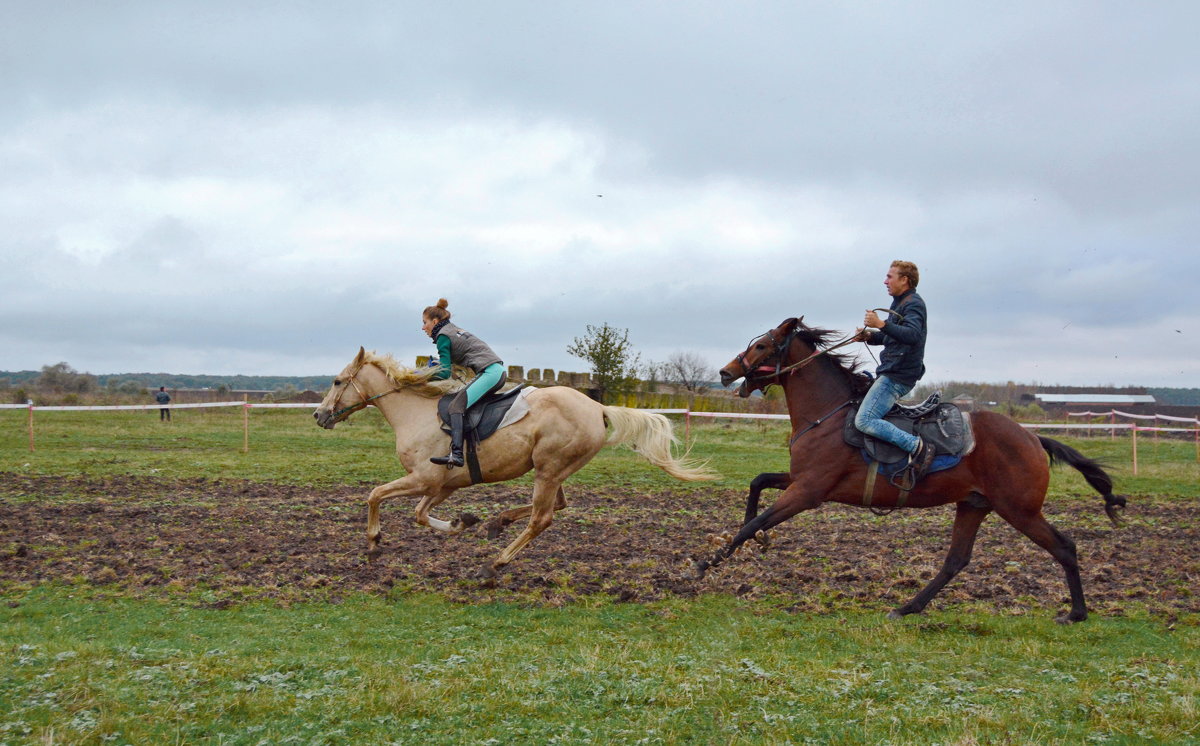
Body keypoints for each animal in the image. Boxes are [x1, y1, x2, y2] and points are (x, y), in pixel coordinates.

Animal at [314, 347, 715, 582]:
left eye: (336, 381)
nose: (319, 415)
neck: (415, 412)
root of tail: (598, 407)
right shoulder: (441, 485)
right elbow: (420, 514)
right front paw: (462, 522)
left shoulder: (423, 479)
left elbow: (375, 494)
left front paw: (373, 541)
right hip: (554, 470)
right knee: (559, 505)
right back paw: (498, 522)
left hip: (548, 470)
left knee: (543, 518)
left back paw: (495, 564)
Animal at [696, 319, 1123, 623]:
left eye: (762, 346)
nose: (725, 372)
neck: (827, 414)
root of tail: (1033, 437)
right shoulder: (801, 481)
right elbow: (757, 486)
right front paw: (753, 541)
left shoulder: (808, 492)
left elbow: (755, 521)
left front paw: (707, 562)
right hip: (974, 505)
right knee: (956, 560)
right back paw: (907, 607)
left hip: (1020, 510)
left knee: (1064, 547)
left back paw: (1076, 613)